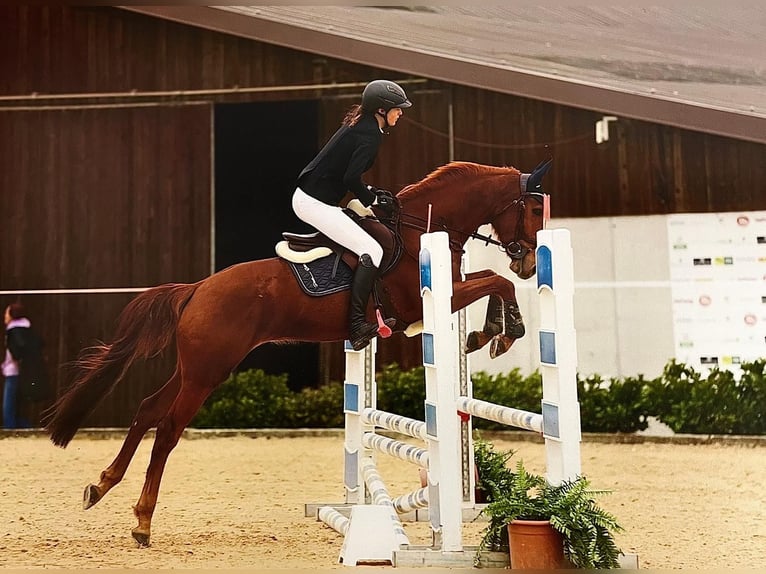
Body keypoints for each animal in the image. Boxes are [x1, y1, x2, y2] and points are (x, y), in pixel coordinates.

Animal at [42, 159, 552, 548]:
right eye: (532, 208)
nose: (530, 261)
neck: (418, 232)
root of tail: (197, 289)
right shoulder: (427, 302)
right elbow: (496, 282)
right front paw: (499, 333)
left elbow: (492, 281)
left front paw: (488, 334)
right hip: (209, 371)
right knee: (167, 429)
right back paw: (143, 521)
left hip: (194, 368)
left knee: (147, 411)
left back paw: (101, 486)